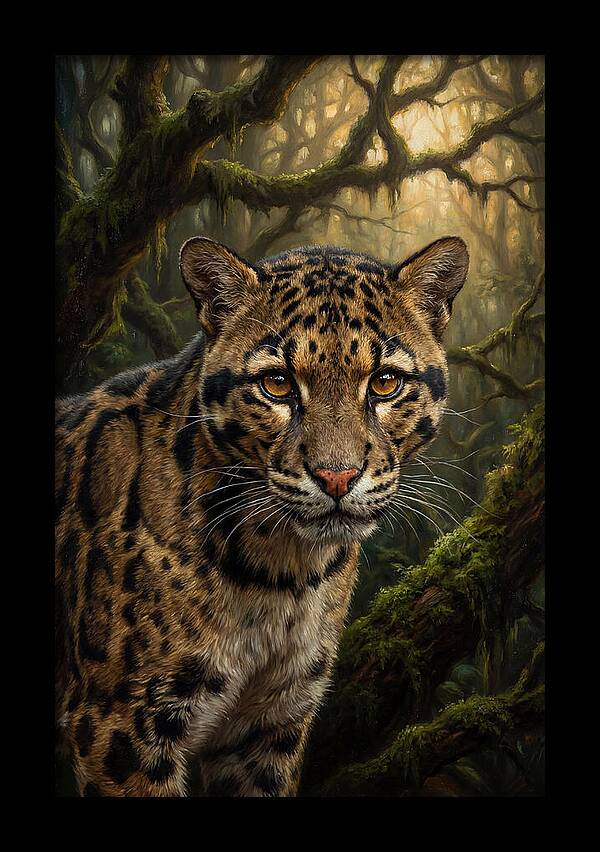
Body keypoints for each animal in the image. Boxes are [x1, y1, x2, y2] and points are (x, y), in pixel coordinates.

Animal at [55, 234, 468, 797]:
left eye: (385, 383)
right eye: (277, 384)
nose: (336, 477)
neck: (281, 573)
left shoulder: (270, 723)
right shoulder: (120, 721)